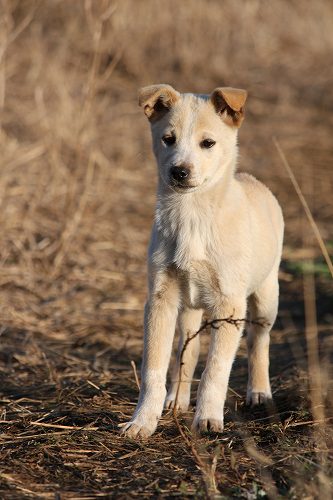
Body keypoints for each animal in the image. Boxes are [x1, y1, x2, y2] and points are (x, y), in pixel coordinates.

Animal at [122, 84, 282, 436]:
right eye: (168, 139)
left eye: (207, 143)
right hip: (189, 309)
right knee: (189, 349)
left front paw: (208, 419)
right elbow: (154, 368)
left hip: (266, 296)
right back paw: (176, 400)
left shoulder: (230, 306)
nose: (179, 171)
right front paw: (142, 422)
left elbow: (216, 370)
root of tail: (252, 180)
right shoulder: (161, 299)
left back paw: (259, 392)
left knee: (258, 342)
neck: (192, 215)